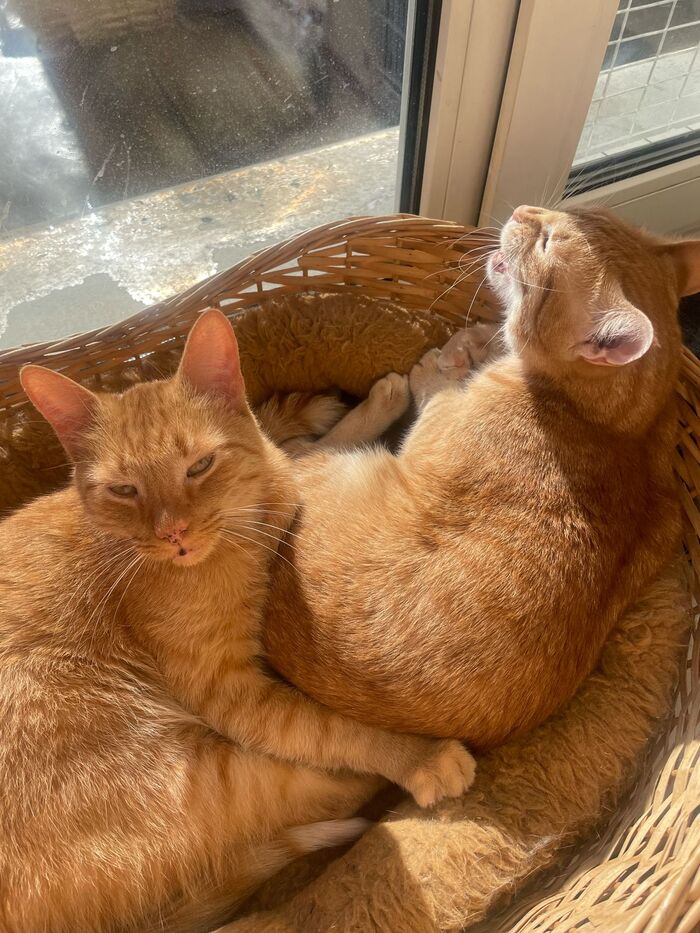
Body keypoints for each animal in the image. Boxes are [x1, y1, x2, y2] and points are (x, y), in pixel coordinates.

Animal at [0, 309, 475, 933]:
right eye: (124, 490)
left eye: (200, 465)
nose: (173, 532)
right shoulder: (230, 693)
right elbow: (333, 733)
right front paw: (415, 755)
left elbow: (287, 455)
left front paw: (348, 411)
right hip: (193, 776)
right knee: (318, 790)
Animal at [262, 205, 700, 749]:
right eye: (570, 215)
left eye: (548, 242)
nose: (523, 211)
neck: (619, 429)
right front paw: (472, 341)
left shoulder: (435, 428)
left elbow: (434, 389)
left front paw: (441, 364)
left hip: (331, 465)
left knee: (306, 447)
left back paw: (382, 397)